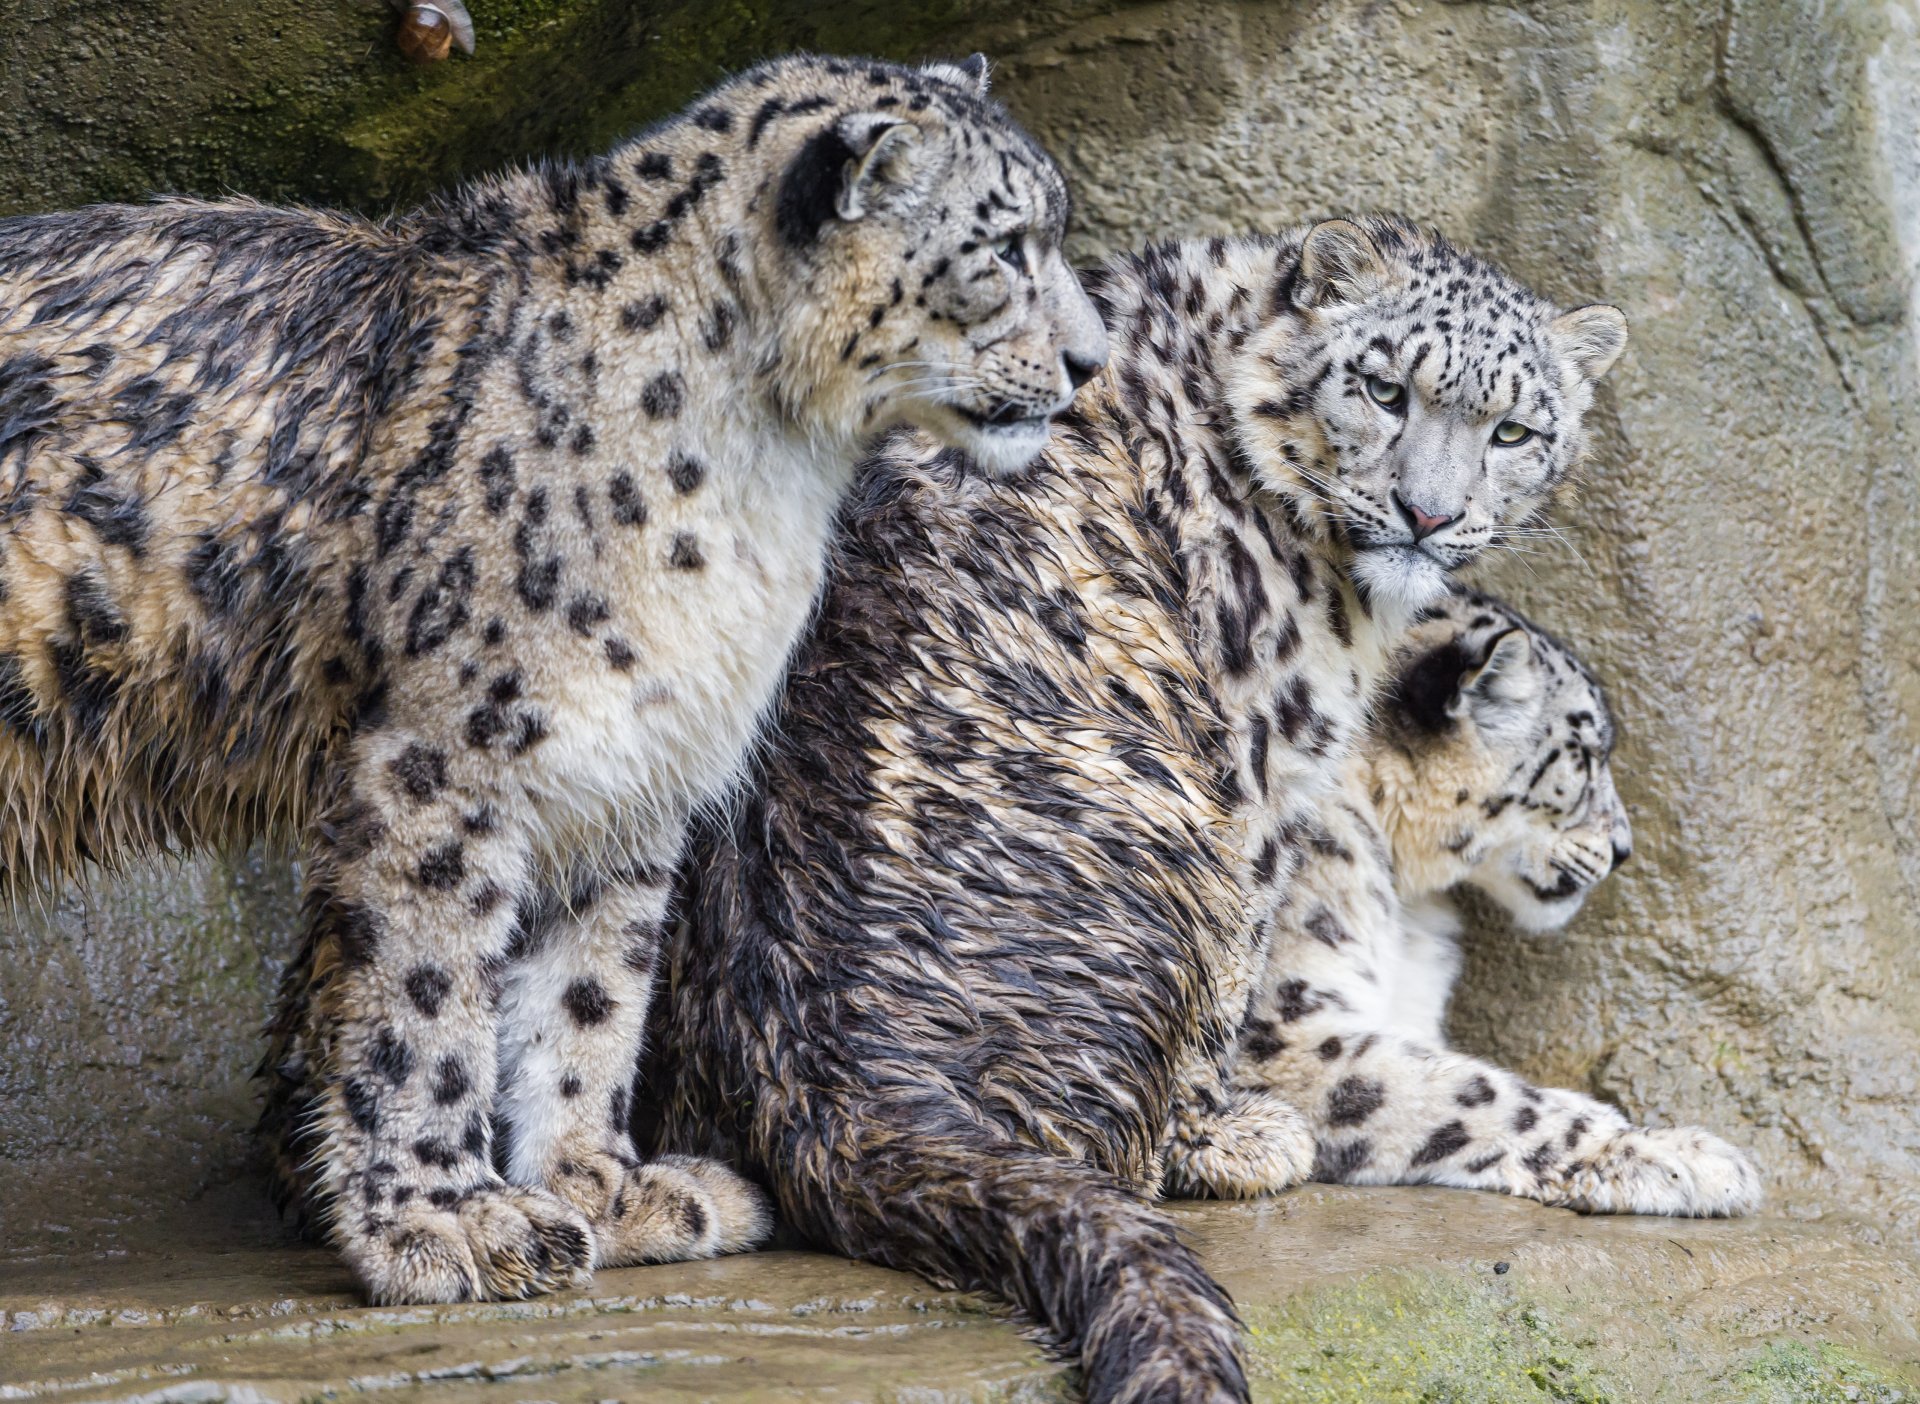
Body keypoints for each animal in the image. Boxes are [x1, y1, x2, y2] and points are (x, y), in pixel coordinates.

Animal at [0, 51, 1104, 1306]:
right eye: (1005, 245)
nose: (1089, 361)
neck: (764, 482)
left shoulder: (633, 763)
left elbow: (588, 996)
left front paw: (604, 1190)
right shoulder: (448, 756)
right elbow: (428, 993)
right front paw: (446, 1222)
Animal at [643, 214, 1631, 1403]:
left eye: (1515, 429)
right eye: (1385, 388)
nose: (1428, 515)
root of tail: (833, 1085)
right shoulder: (1261, 740)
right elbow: (1243, 966)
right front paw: (1224, 1135)